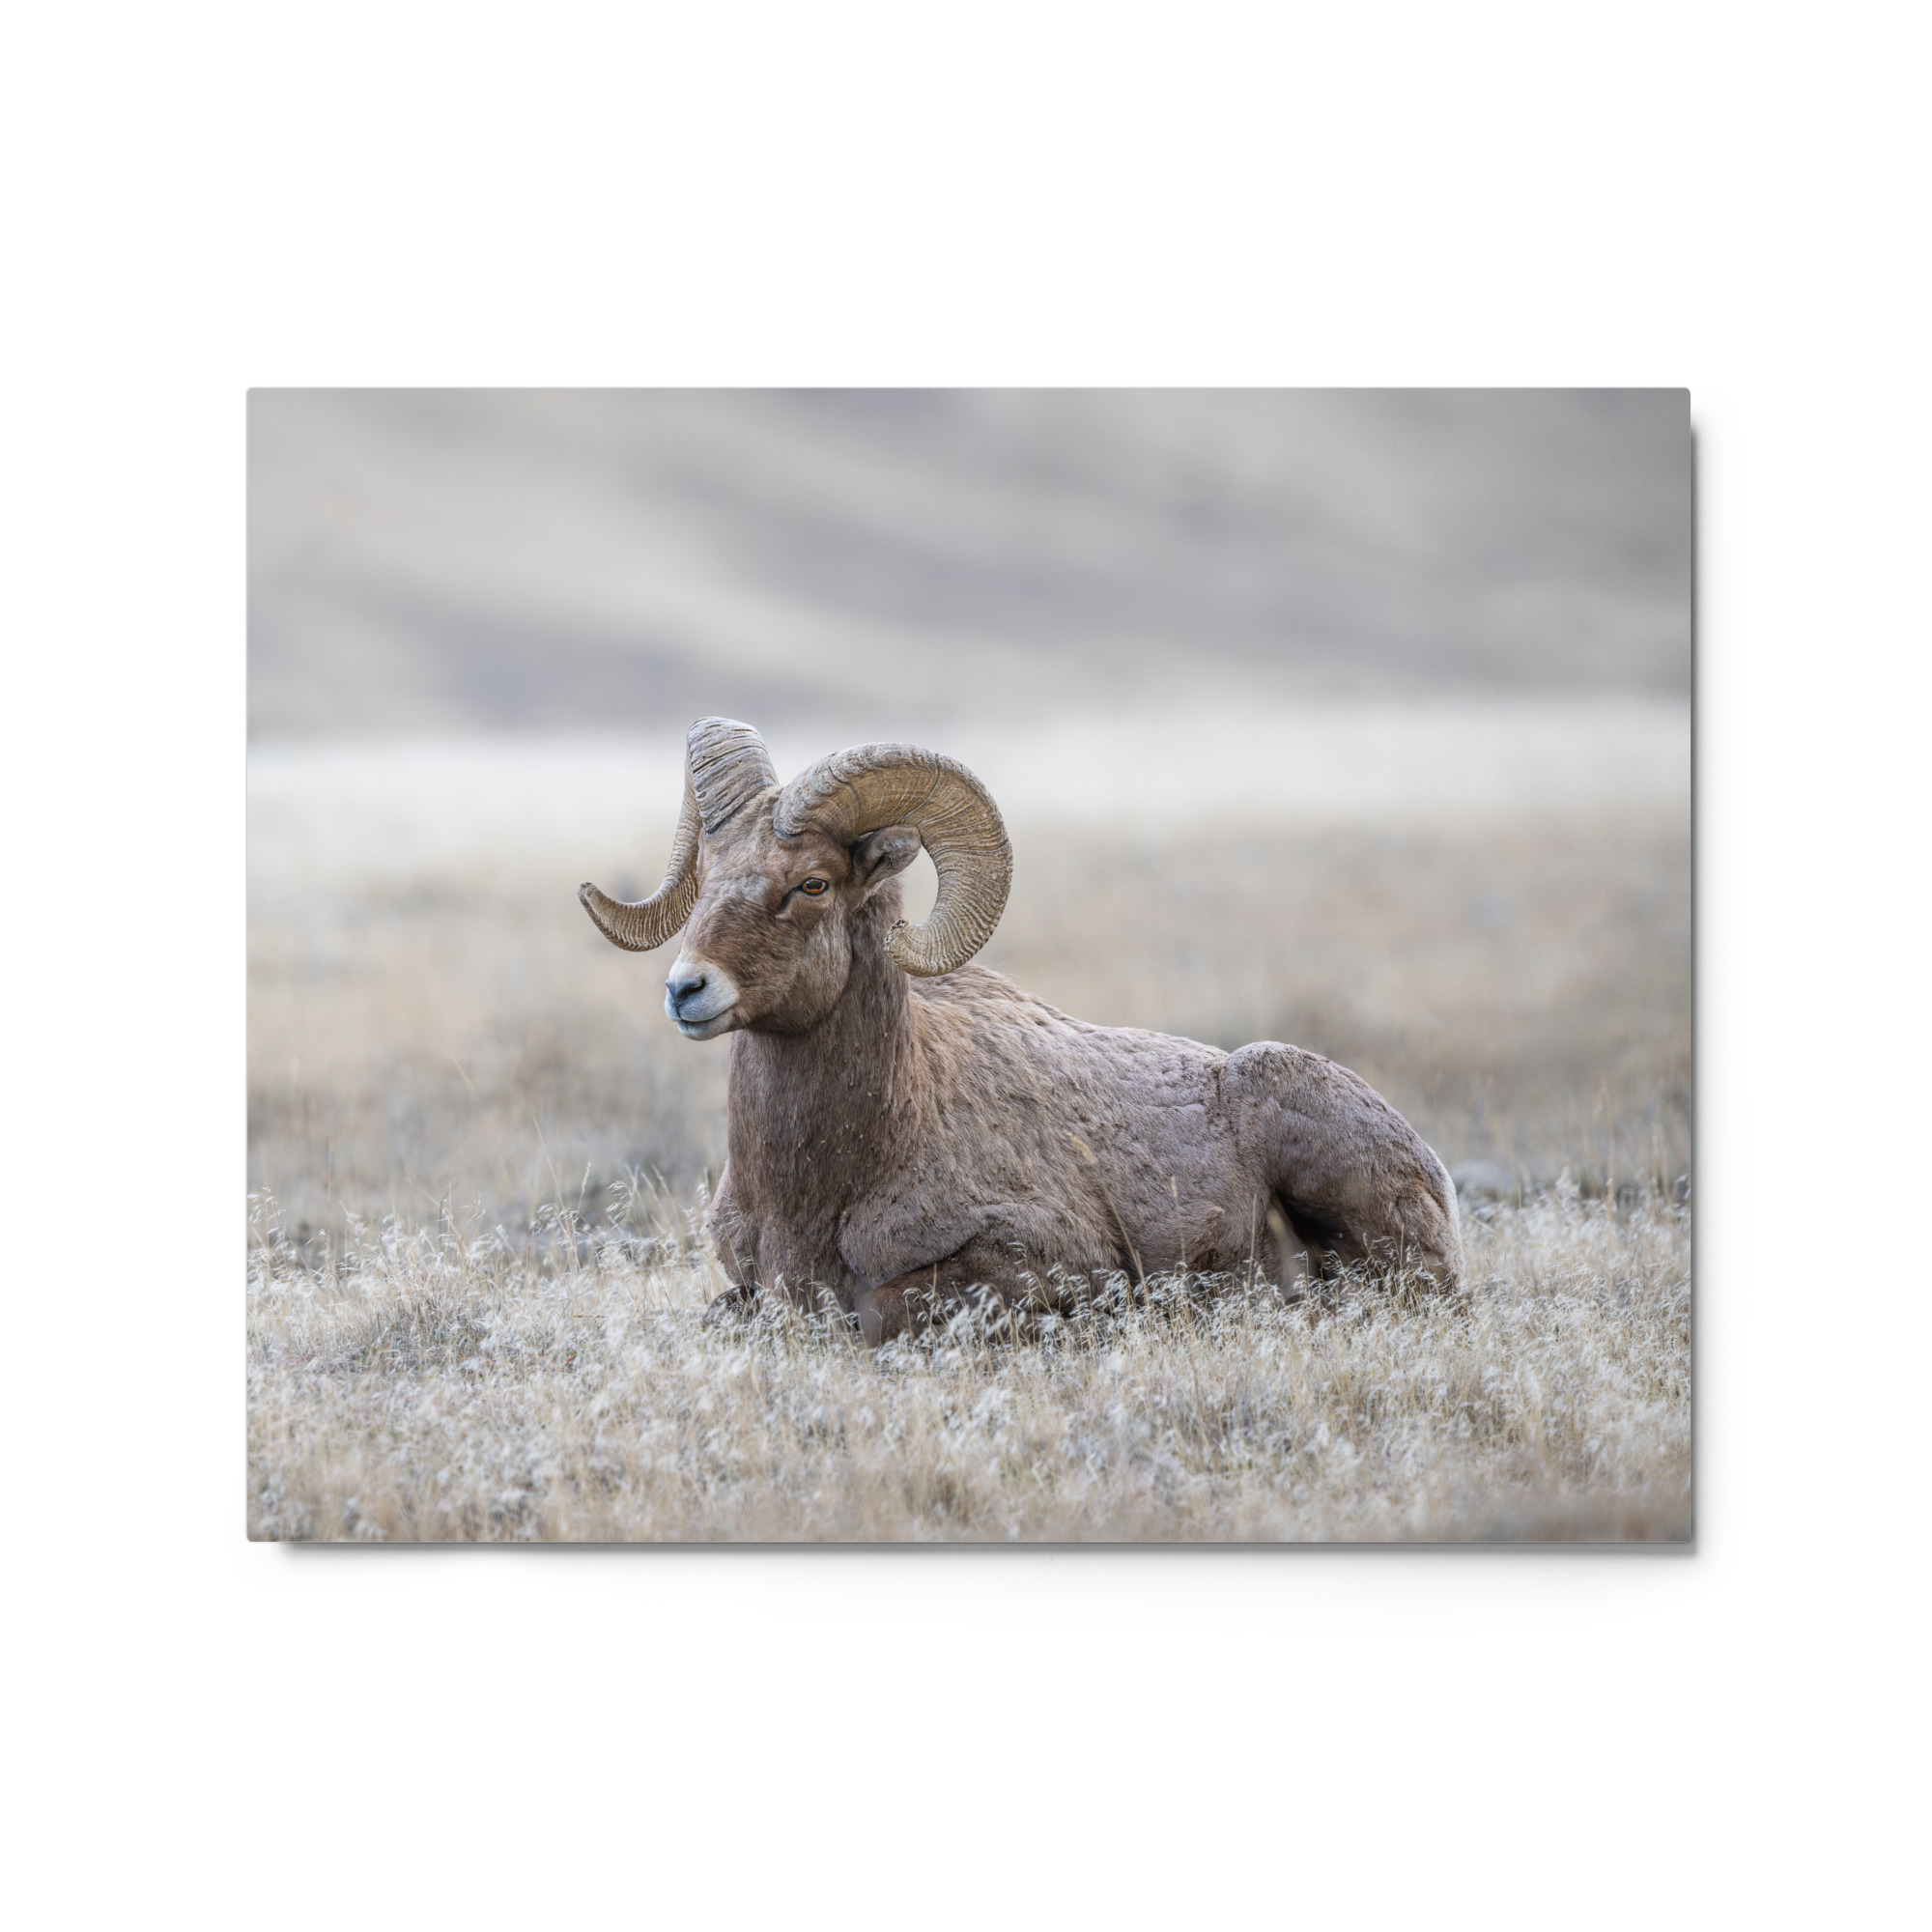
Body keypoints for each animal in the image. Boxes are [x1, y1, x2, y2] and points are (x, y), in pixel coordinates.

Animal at [579, 717, 1461, 1342]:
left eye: (813, 884)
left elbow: (884, 1311)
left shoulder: (1036, 1263)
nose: (687, 990)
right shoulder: (748, 1284)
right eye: (707, 879)